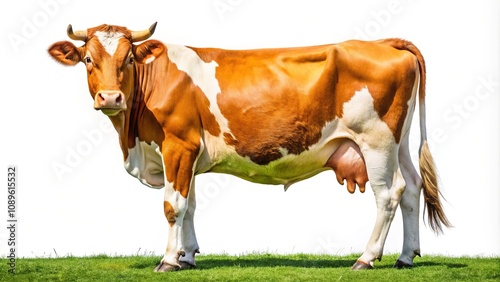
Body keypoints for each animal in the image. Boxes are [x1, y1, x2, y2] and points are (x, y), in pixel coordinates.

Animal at [48, 22, 452, 270]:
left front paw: (168, 260)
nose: (110, 97)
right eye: (88, 59)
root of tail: (383, 43)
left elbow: (173, 205)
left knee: (389, 194)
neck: (133, 140)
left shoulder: (178, 145)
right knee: (412, 188)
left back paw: (366, 258)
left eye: (129, 58)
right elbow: (191, 206)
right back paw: (405, 257)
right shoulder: (189, 154)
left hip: (375, 140)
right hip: (399, 142)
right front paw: (188, 257)